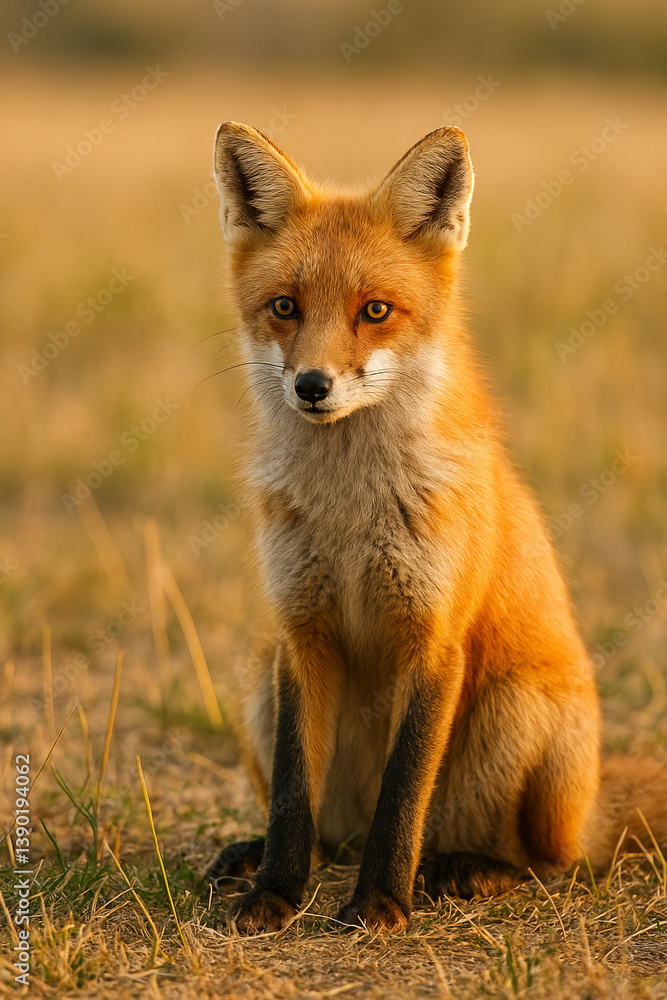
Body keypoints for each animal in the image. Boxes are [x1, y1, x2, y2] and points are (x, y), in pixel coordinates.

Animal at [205, 122, 667, 933]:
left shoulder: (432, 639)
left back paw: (467, 870)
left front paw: (381, 906)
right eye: (285, 307)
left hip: (519, 712)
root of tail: (590, 807)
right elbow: (293, 796)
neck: (350, 513)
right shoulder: (301, 633)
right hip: (259, 675)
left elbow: (402, 795)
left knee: (552, 863)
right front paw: (275, 895)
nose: (312, 386)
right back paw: (264, 855)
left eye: (376, 311)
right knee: (330, 834)